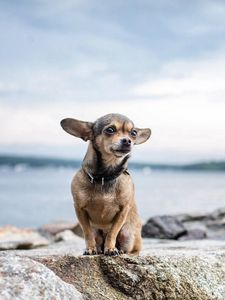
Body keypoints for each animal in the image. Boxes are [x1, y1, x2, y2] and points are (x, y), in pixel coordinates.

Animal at [60, 113, 151, 255]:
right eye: (110, 130)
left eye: (133, 133)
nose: (127, 141)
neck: (105, 176)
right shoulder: (80, 210)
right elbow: (87, 233)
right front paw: (90, 249)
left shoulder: (123, 211)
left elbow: (112, 233)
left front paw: (111, 248)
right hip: (98, 233)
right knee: (96, 239)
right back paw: (98, 249)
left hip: (127, 234)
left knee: (132, 249)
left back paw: (120, 251)